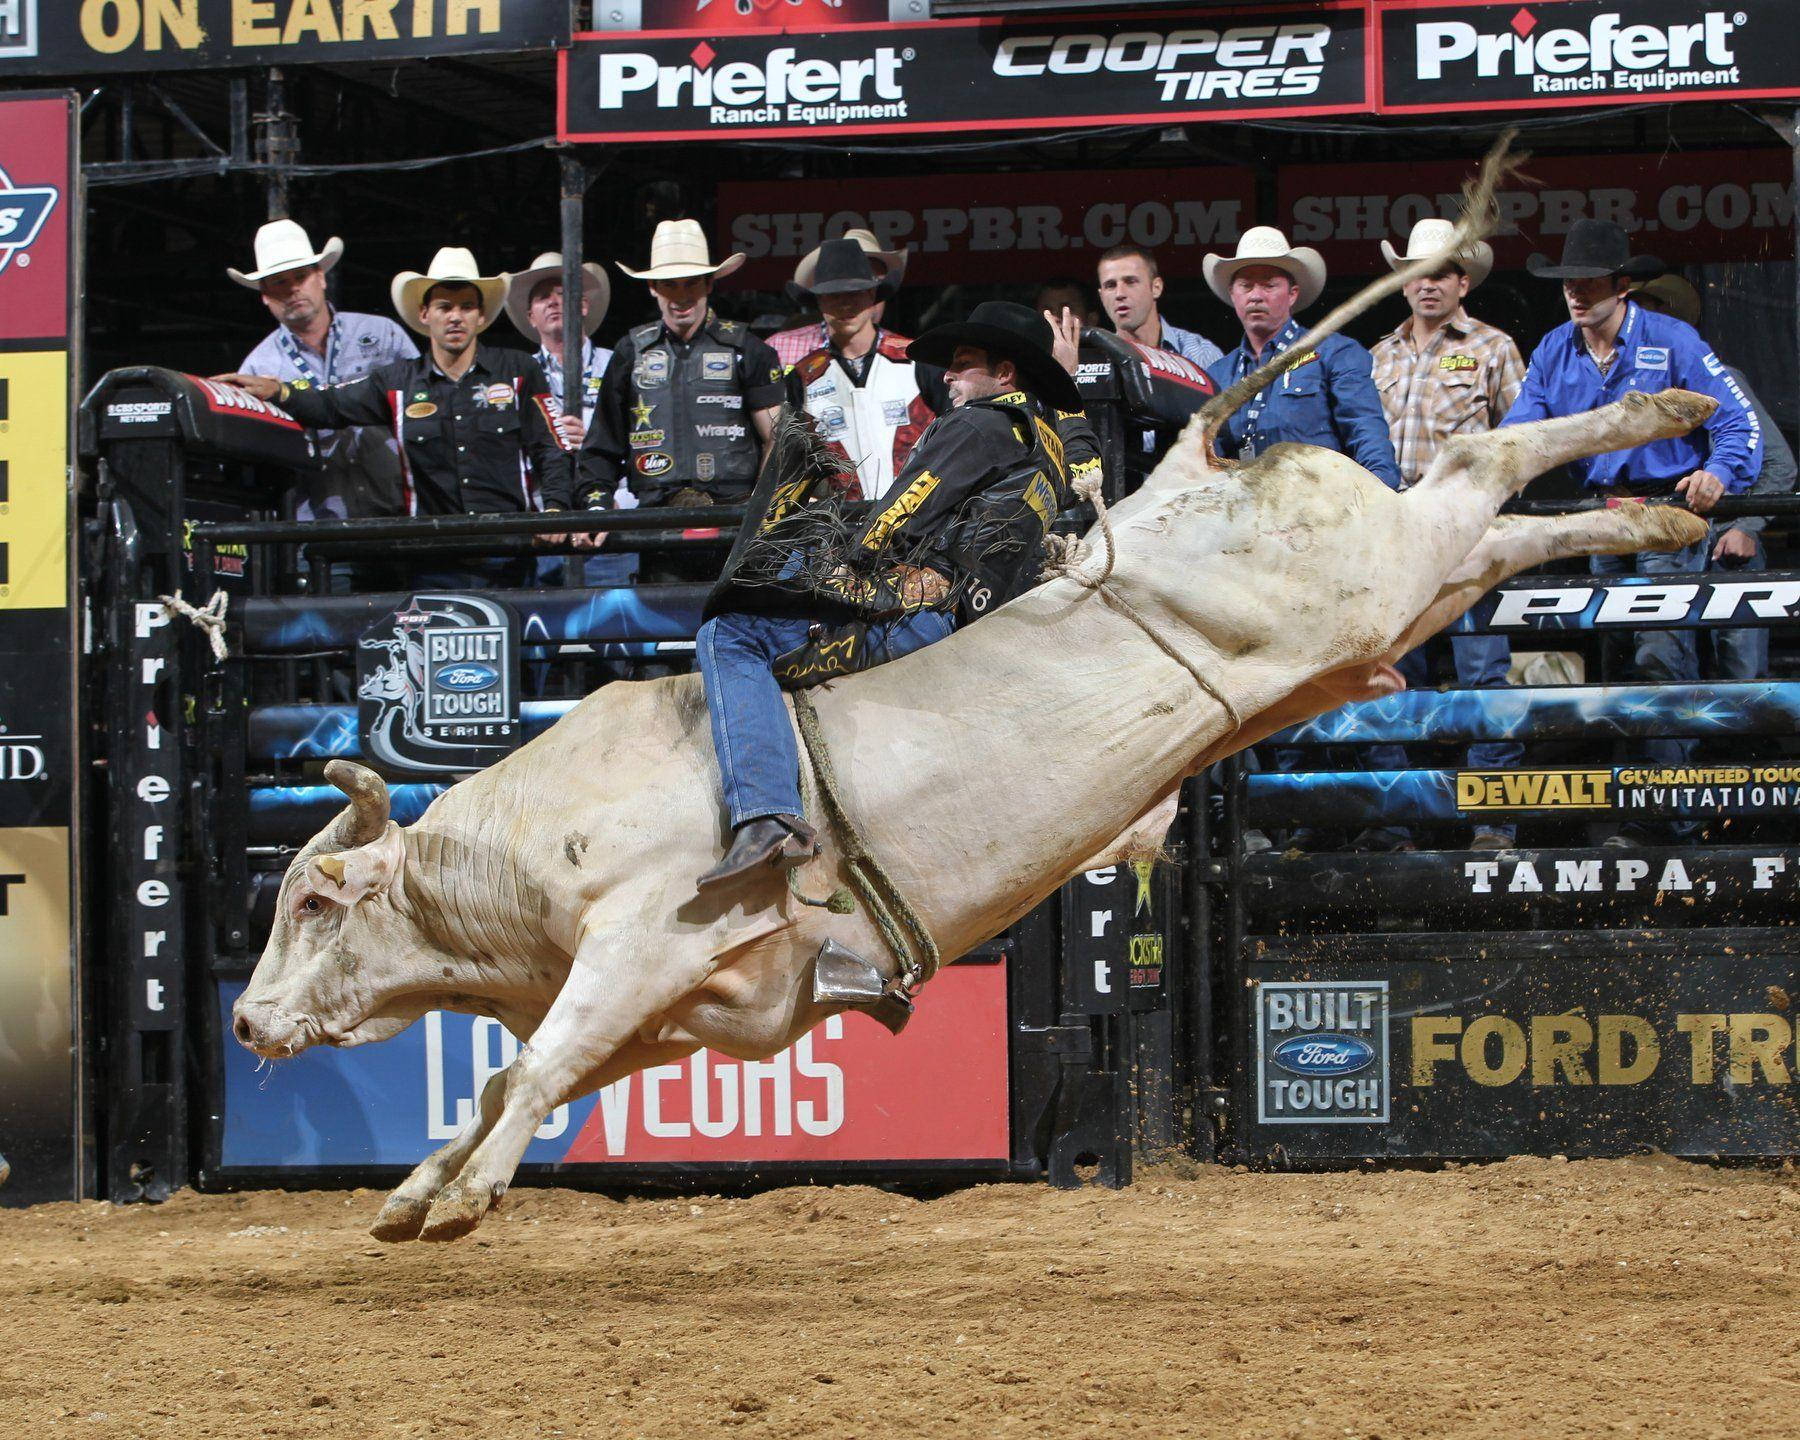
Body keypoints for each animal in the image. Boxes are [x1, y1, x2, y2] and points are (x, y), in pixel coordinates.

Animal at [232, 156, 1714, 1242]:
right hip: (1393, 609)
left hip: (1372, 575)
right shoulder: (704, 1010)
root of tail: (1184, 462)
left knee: (1473, 459)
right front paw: (414, 1192)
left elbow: (528, 1066)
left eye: (311, 904)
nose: (245, 1023)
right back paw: (1655, 488)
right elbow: (505, 1076)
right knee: (1489, 509)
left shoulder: (639, 942)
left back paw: (1660, 430)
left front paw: (459, 1200)